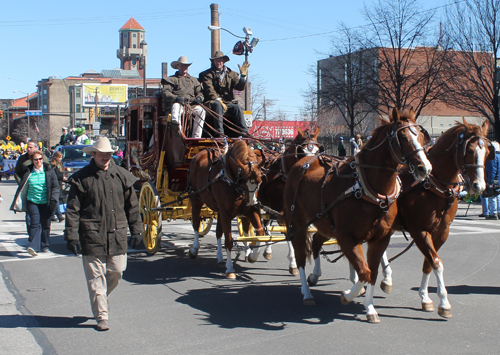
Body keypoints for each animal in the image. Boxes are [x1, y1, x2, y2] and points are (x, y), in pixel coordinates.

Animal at [188, 140, 266, 280]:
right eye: (243, 182)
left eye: (259, 181)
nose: (252, 202)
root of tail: (201, 153)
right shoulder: (226, 213)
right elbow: (229, 240)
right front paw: (230, 269)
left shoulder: (250, 211)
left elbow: (260, 233)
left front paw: (253, 256)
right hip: (195, 199)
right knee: (196, 223)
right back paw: (195, 248)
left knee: (218, 232)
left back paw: (220, 258)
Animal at [284, 108, 432, 322]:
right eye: (403, 137)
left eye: (421, 136)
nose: (425, 168)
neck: (369, 189)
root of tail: (303, 162)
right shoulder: (347, 238)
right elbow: (364, 272)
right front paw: (347, 295)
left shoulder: (379, 239)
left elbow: (372, 273)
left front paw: (369, 307)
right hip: (297, 223)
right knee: (301, 255)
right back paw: (306, 292)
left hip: (324, 223)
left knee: (317, 242)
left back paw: (315, 275)